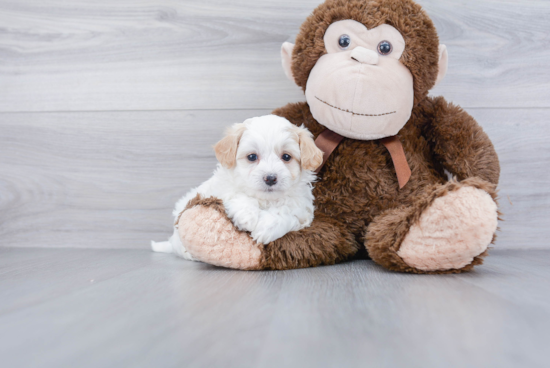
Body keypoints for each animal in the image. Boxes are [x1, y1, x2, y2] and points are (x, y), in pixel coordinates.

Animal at [152, 113, 324, 260]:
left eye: (286, 157)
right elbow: (237, 194)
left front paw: (266, 227)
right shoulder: (221, 189)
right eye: (252, 157)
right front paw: (247, 215)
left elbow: (287, 212)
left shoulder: (302, 211)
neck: (265, 200)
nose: (270, 178)